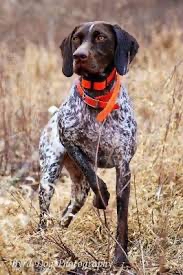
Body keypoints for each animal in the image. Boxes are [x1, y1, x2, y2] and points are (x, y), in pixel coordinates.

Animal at [38, 20, 139, 266]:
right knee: (44, 218)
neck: (98, 96)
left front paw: (121, 258)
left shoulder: (123, 166)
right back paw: (41, 241)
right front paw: (102, 199)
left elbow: (122, 218)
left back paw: (60, 233)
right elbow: (93, 175)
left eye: (101, 37)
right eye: (77, 38)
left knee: (66, 213)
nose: (78, 56)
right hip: (48, 179)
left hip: (78, 193)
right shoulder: (69, 142)